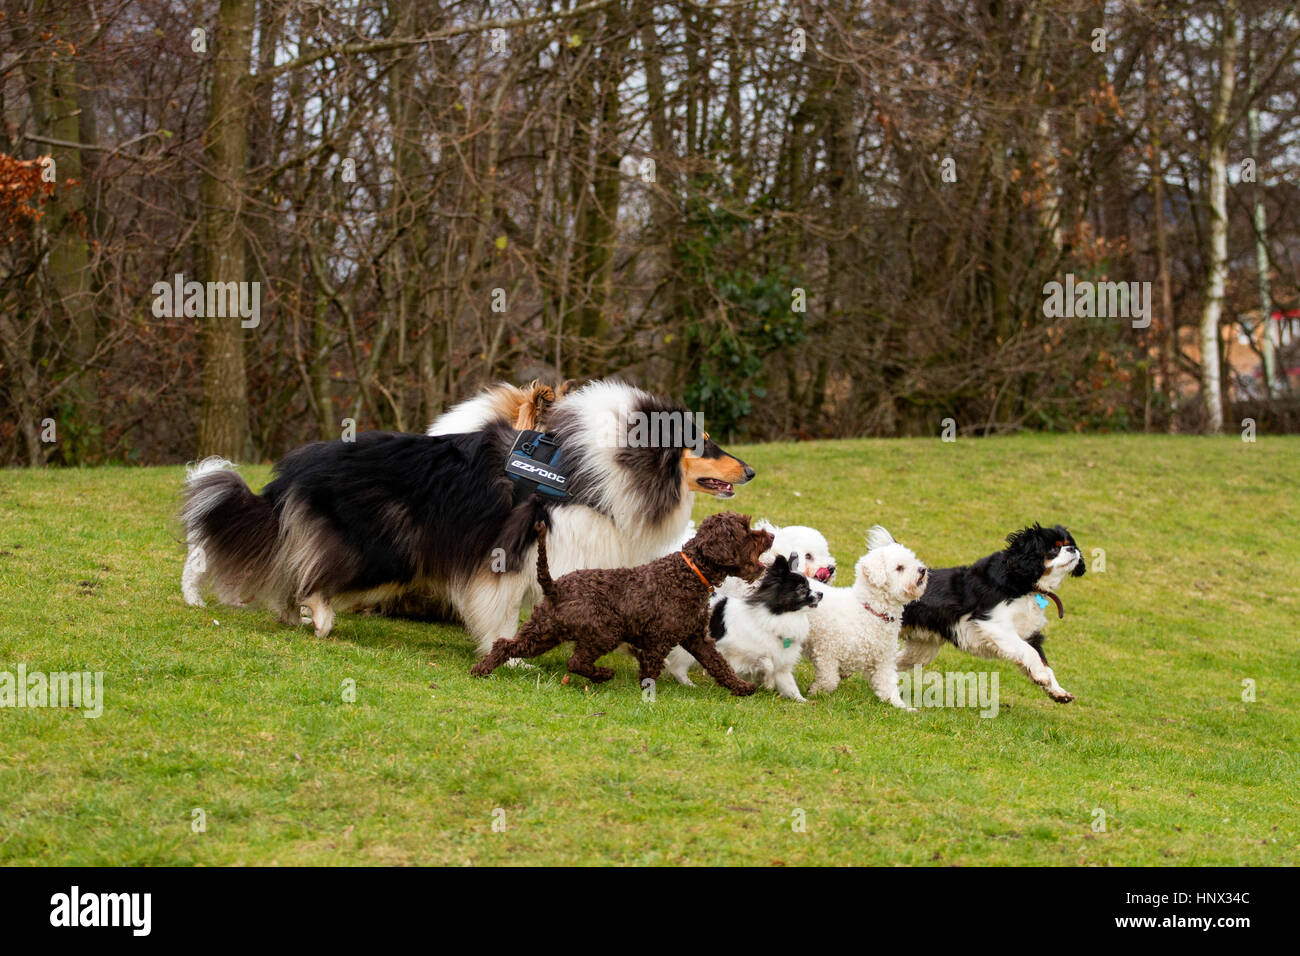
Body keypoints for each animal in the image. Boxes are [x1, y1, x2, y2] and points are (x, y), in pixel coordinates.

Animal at [178, 377, 759, 655]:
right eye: (703, 442)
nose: (751, 469)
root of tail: (293, 471)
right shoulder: (516, 551)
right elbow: (503, 609)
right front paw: (512, 653)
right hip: (386, 548)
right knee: (316, 576)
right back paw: (318, 616)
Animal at [467, 512, 769, 691]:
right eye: (746, 531)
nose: (771, 535)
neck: (689, 573)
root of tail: (555, 587)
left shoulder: (697, 637)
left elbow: (719, 664)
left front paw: (741, 687)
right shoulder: (658, 638)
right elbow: (651, 668)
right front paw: (647, 692)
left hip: (543, 631)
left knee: (506, 644)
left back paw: (481, 670)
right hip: (604, 631)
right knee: (576, 661)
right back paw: (603, 674)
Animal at [665, 554, 816, 702]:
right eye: (801, 588)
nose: (820, 594)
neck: (778, 616)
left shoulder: (783, 666)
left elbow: (790, 686)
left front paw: (803, 701)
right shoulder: (734, 653)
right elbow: (767, 663)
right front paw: (768, 682)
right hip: (686, 652)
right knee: (677, 669)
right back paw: (689, 685)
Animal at [894, 522, 1086, 702]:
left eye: (1070, 544)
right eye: (1054, 548)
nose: (1073, 549)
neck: (1024, 583)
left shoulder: (1029, 634)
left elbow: (1043, 661)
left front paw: (1058, 691)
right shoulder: (994, 625)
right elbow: (1030, 653)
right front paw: (1041, 675)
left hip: (922, 650)